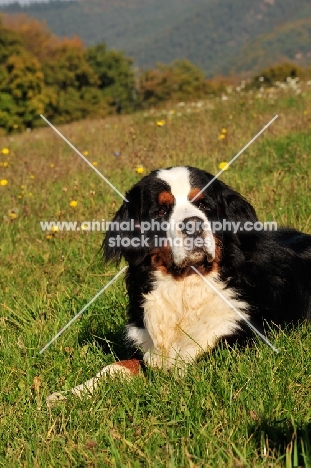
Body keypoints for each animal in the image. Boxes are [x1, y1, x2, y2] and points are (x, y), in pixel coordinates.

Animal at [47, 166, 311, 400]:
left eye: (203, 205)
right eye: (161, 211)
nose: (193, 225)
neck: (184, 286)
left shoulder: (236, 341)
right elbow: (116, 366)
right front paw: (69, 394)